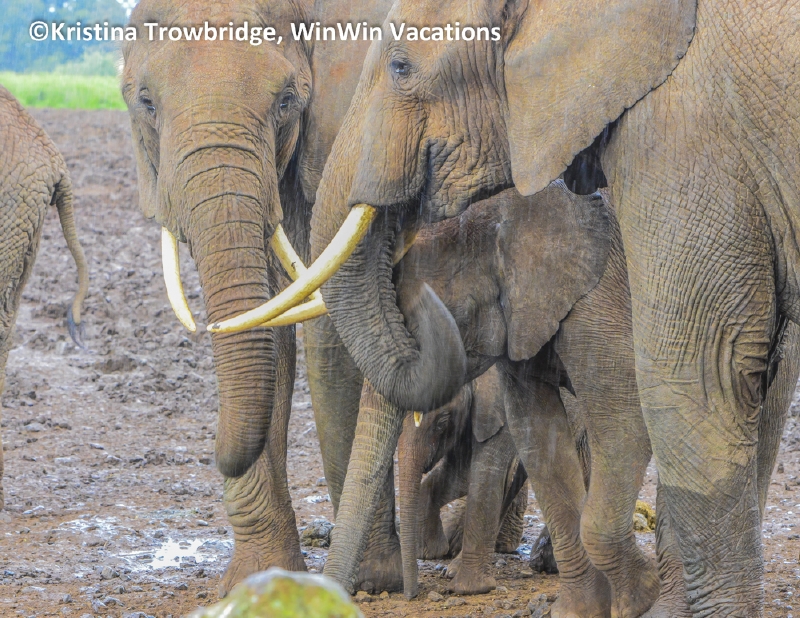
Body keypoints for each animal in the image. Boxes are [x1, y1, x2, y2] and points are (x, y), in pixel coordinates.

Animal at [120, 0, 395, 595]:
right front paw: (261, 582)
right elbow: (268, 322)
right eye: (146, 103)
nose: (214, 453)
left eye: (287, 100)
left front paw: (369, 582)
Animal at [397, 364, 530, 594]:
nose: (411, 595)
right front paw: (431, 552)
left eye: (442, 423)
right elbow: (460, 473)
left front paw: (466, 585)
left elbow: (487, 470)